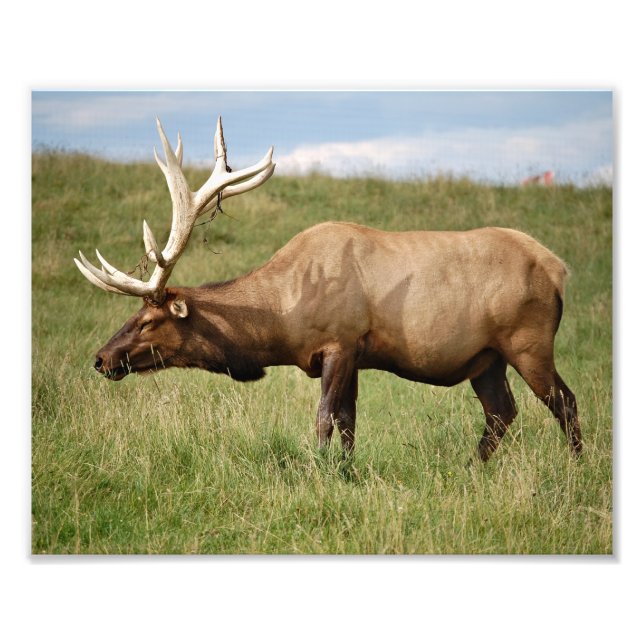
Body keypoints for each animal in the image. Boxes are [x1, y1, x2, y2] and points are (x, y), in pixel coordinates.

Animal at [75, 117, 582, 461]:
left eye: (147, 320)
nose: (101, 358)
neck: (282, 320)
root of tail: (559, 268)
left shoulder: (339, 342)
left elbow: (323, 421)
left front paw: (318, 471)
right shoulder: (352, 354)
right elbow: (348, 423)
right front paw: (347, 471)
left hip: (528, 341)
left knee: (564, 402)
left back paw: (577, 467)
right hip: (487, 357)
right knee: (501, 412)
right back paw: (470, 468)